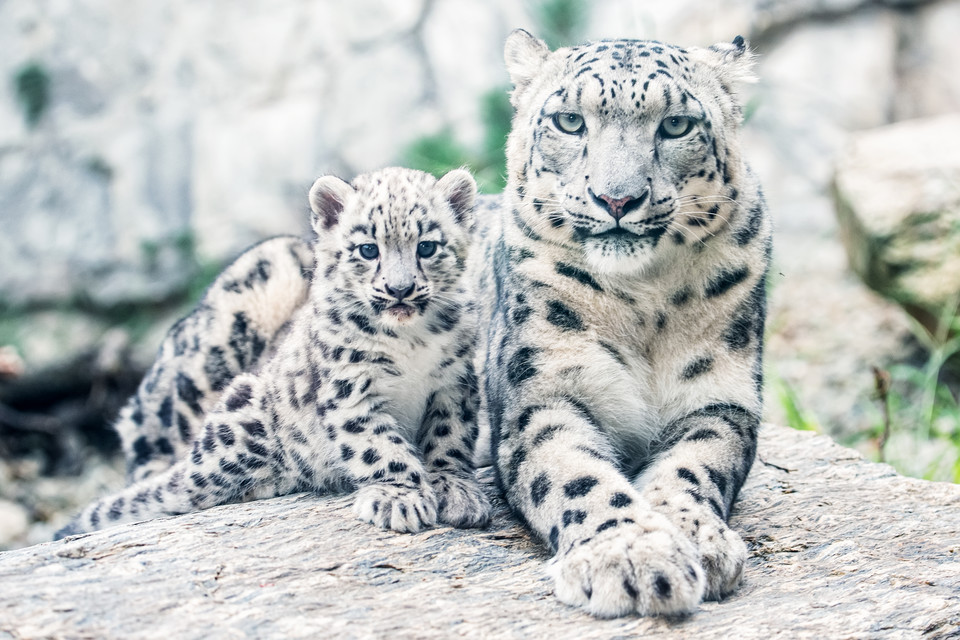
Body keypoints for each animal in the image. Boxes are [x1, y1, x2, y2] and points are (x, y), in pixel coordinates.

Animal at [54, 168, 488, 536]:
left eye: (427, 246)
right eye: (368, 249)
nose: (400, 289)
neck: (410, 341)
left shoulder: (453, 385)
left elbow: (448, 439)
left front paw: (456, 491)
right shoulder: (351, 390)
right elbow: (379, 446)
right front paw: (401, 498)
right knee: (185, 486)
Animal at [480, 32, 772, 616]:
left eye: (676, 125)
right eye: (569, 121)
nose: (618, 198)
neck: (644, 303)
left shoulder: (719, 398)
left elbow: (692, 466)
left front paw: (697, 537)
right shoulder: (542, 394)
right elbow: (576, 475)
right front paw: (629, 555)